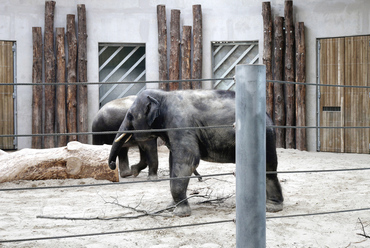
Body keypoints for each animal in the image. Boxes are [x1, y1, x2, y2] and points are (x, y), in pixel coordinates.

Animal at [107, 89, 284, 217]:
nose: (112, 165)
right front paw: (171, 206)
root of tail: (268, 115)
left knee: (268, 168)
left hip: (264, 136)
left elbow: (188, 159)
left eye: (130, 116)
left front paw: (180, 213)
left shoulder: (180, 124)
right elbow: (173, 161)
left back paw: (272, 207)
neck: (163, 95)